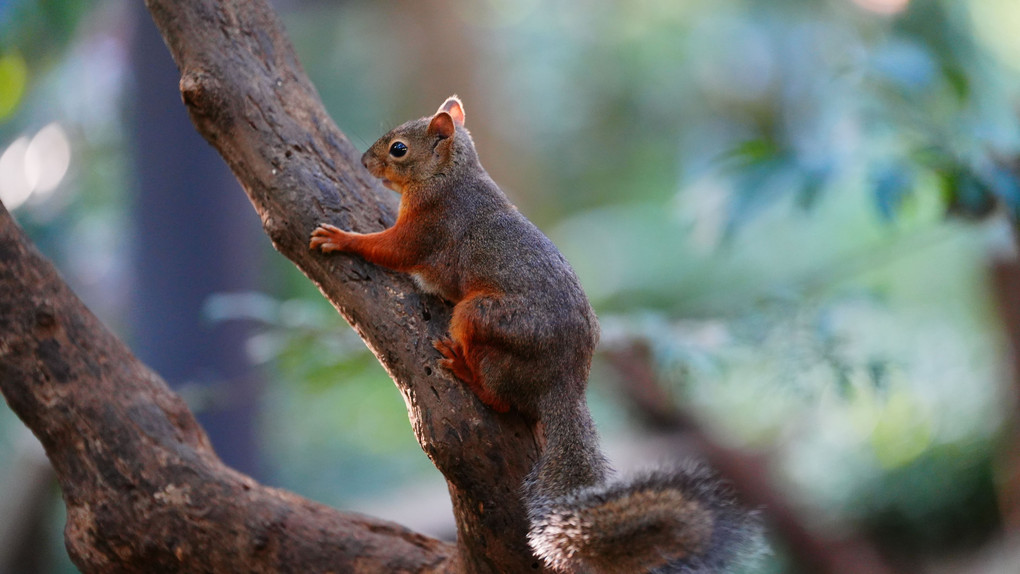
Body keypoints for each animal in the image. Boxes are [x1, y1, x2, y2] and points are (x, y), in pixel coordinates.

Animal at [308, 96, 758, 570]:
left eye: (398, 149)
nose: (364, 161)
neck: (453, 175)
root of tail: (564, 384)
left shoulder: (428, 225)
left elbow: (391, 249)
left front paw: (341, 238)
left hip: (479, 316)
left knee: (501, 399)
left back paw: (465, 370)